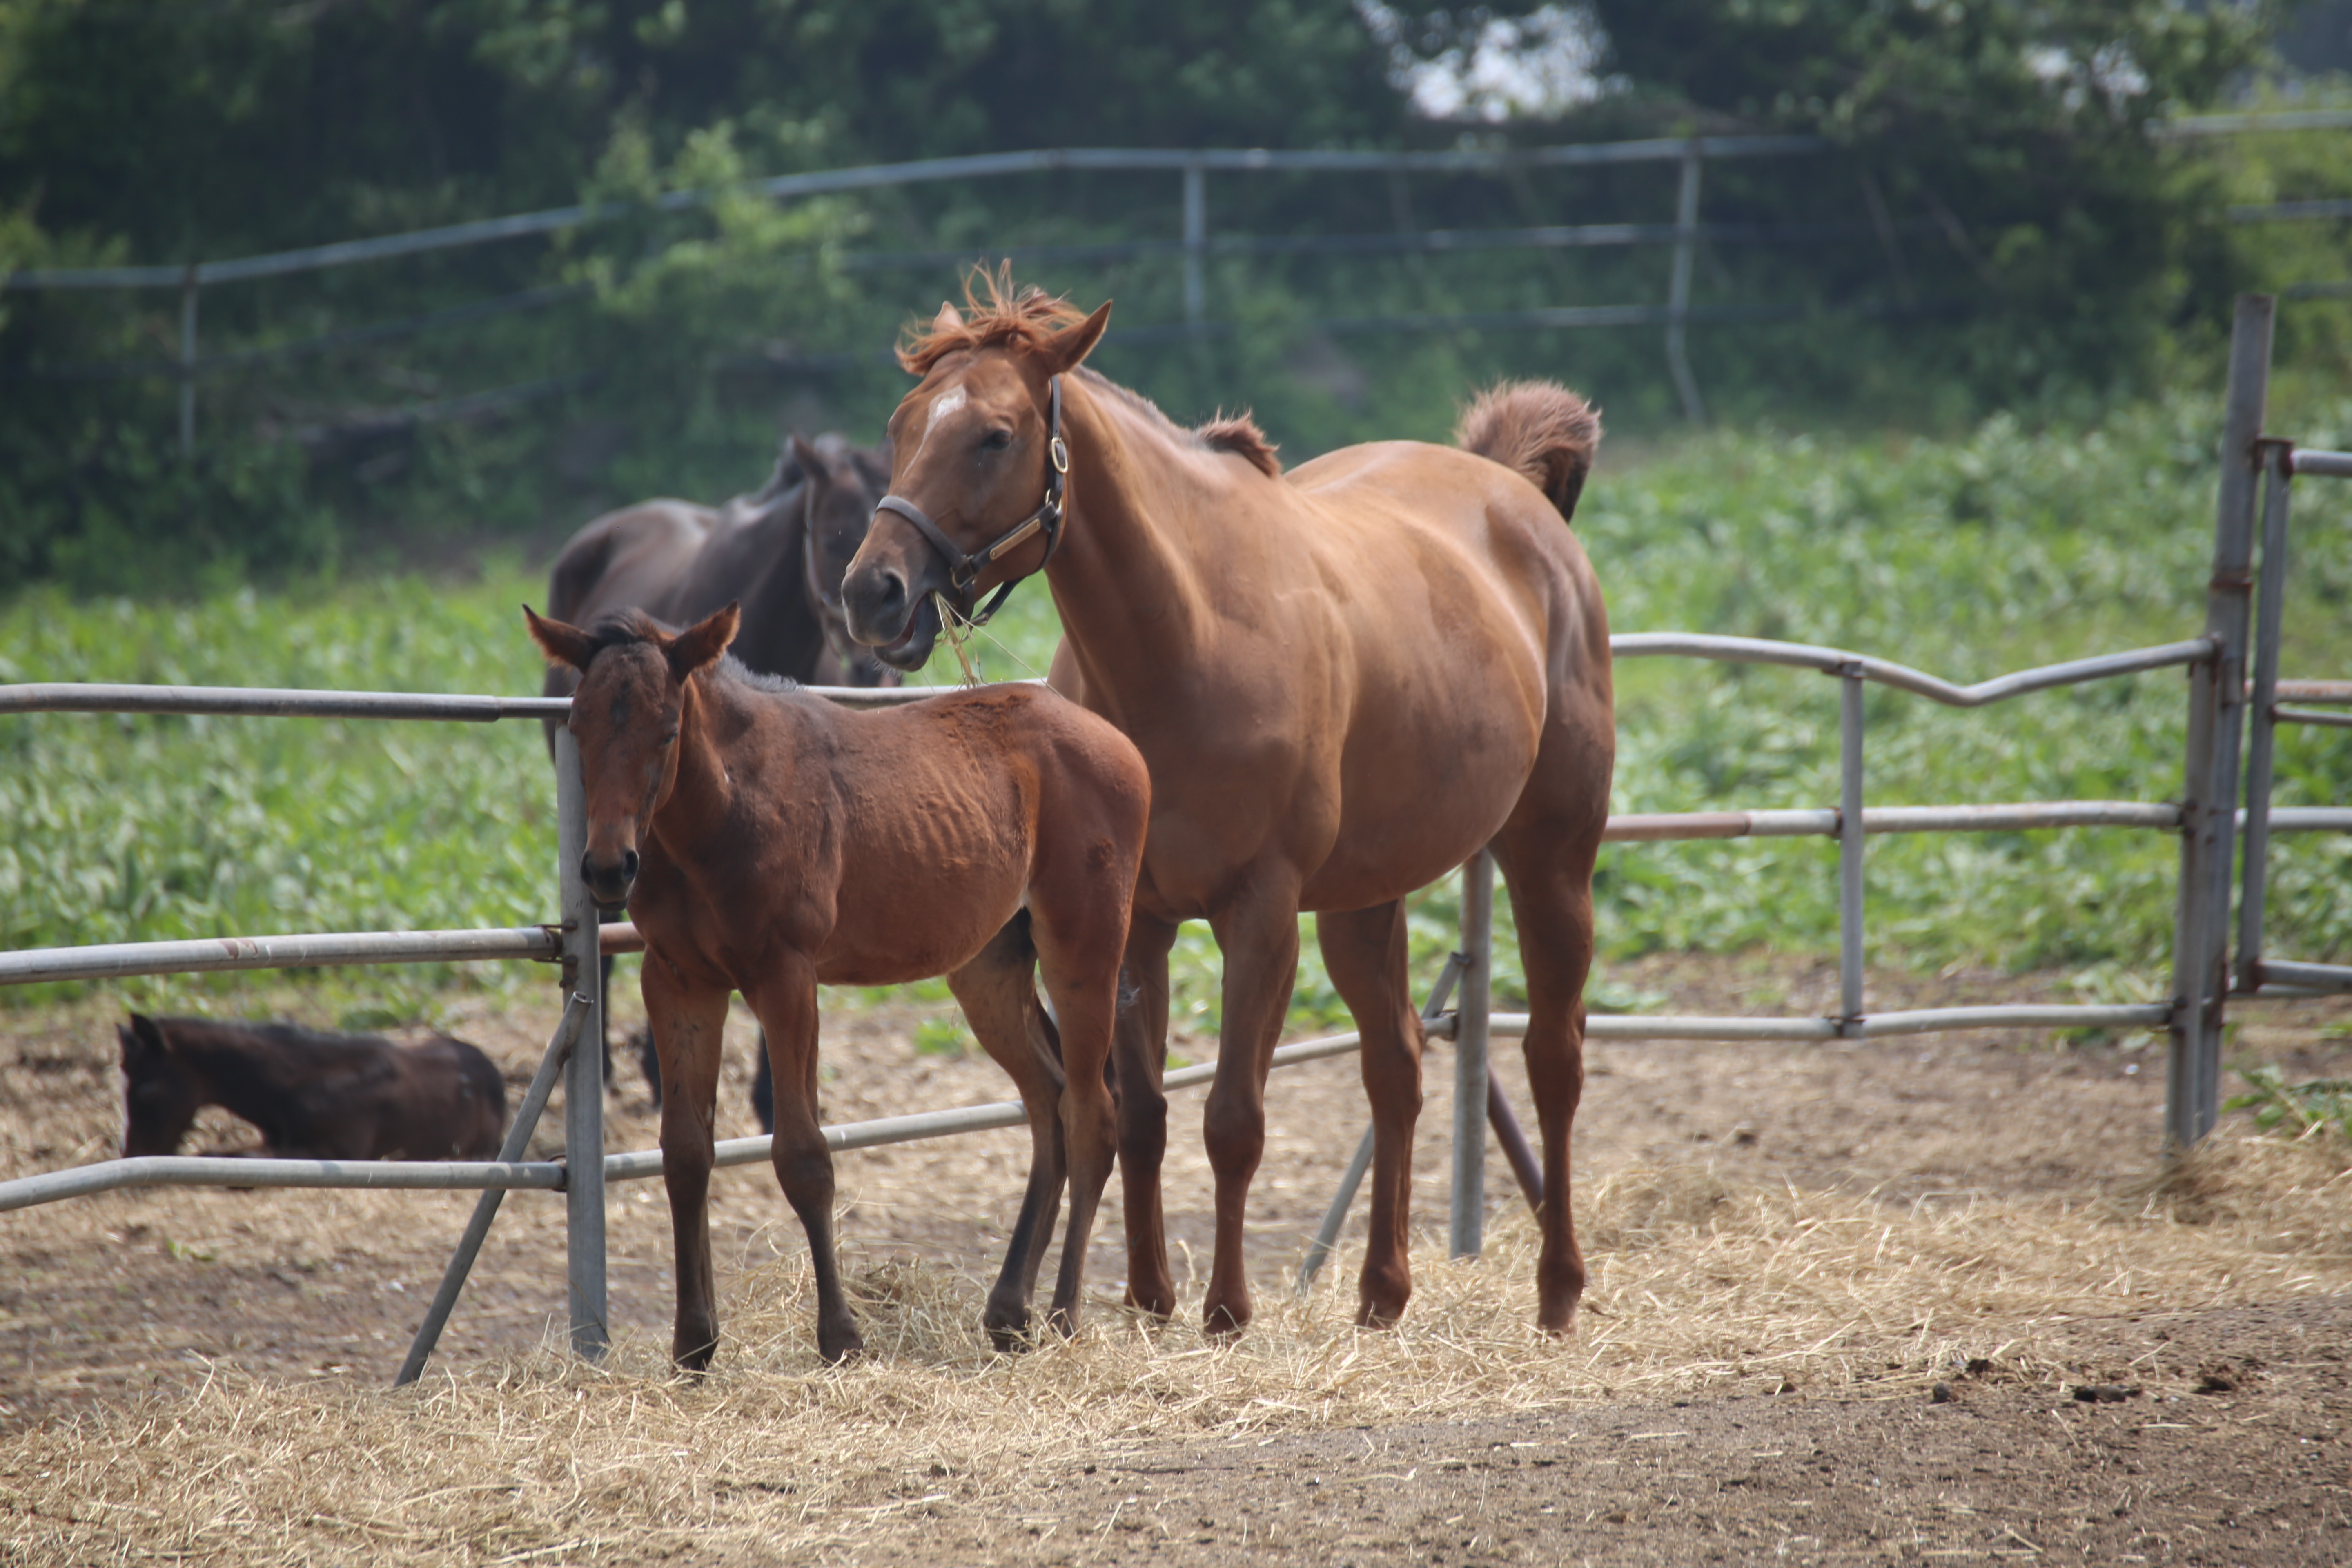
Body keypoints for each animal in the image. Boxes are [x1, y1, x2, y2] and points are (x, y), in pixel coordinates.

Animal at [534, 601, 1157, 1363]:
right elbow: (684, 1153)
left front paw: (840, 1336)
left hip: (1084, 948)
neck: (721, 813)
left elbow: (804, 1155)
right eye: (579, 725)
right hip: (988, 968)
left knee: (1092, 1114)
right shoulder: (679, 982)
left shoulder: (786, 977)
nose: (606, 868)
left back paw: (1065, 1316)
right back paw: (1010, 1311)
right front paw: (694, 1344)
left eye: (668, 729)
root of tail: (1118, 744)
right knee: (1050, 1102)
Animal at [846, 276, 1618, 1345]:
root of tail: (1514, 493)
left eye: (994, 435)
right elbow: (1139, 1115)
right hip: (1361, 906)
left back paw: (1556, 1288)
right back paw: (1381, 1292)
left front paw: (1223, 1309)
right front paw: (1147, 1298)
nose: (871, 593)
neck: (1190, 636)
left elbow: (1232, 1119)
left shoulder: (1258, 916)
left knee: (1553, 1056)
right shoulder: (1138, 922)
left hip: (1551, 860)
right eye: (900, 424)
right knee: (1396, 1067)